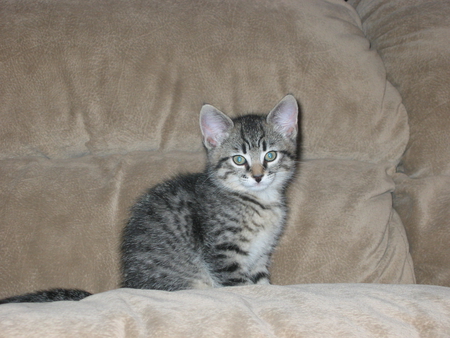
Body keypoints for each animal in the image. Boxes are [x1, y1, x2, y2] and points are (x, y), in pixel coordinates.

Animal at [0, 93, 298, 304]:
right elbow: (242, 288)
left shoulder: (260, 255)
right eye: (238, 159)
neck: (258, 201)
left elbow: (262, 285)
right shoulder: (222, 252)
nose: (258, 176)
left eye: (270, 155)